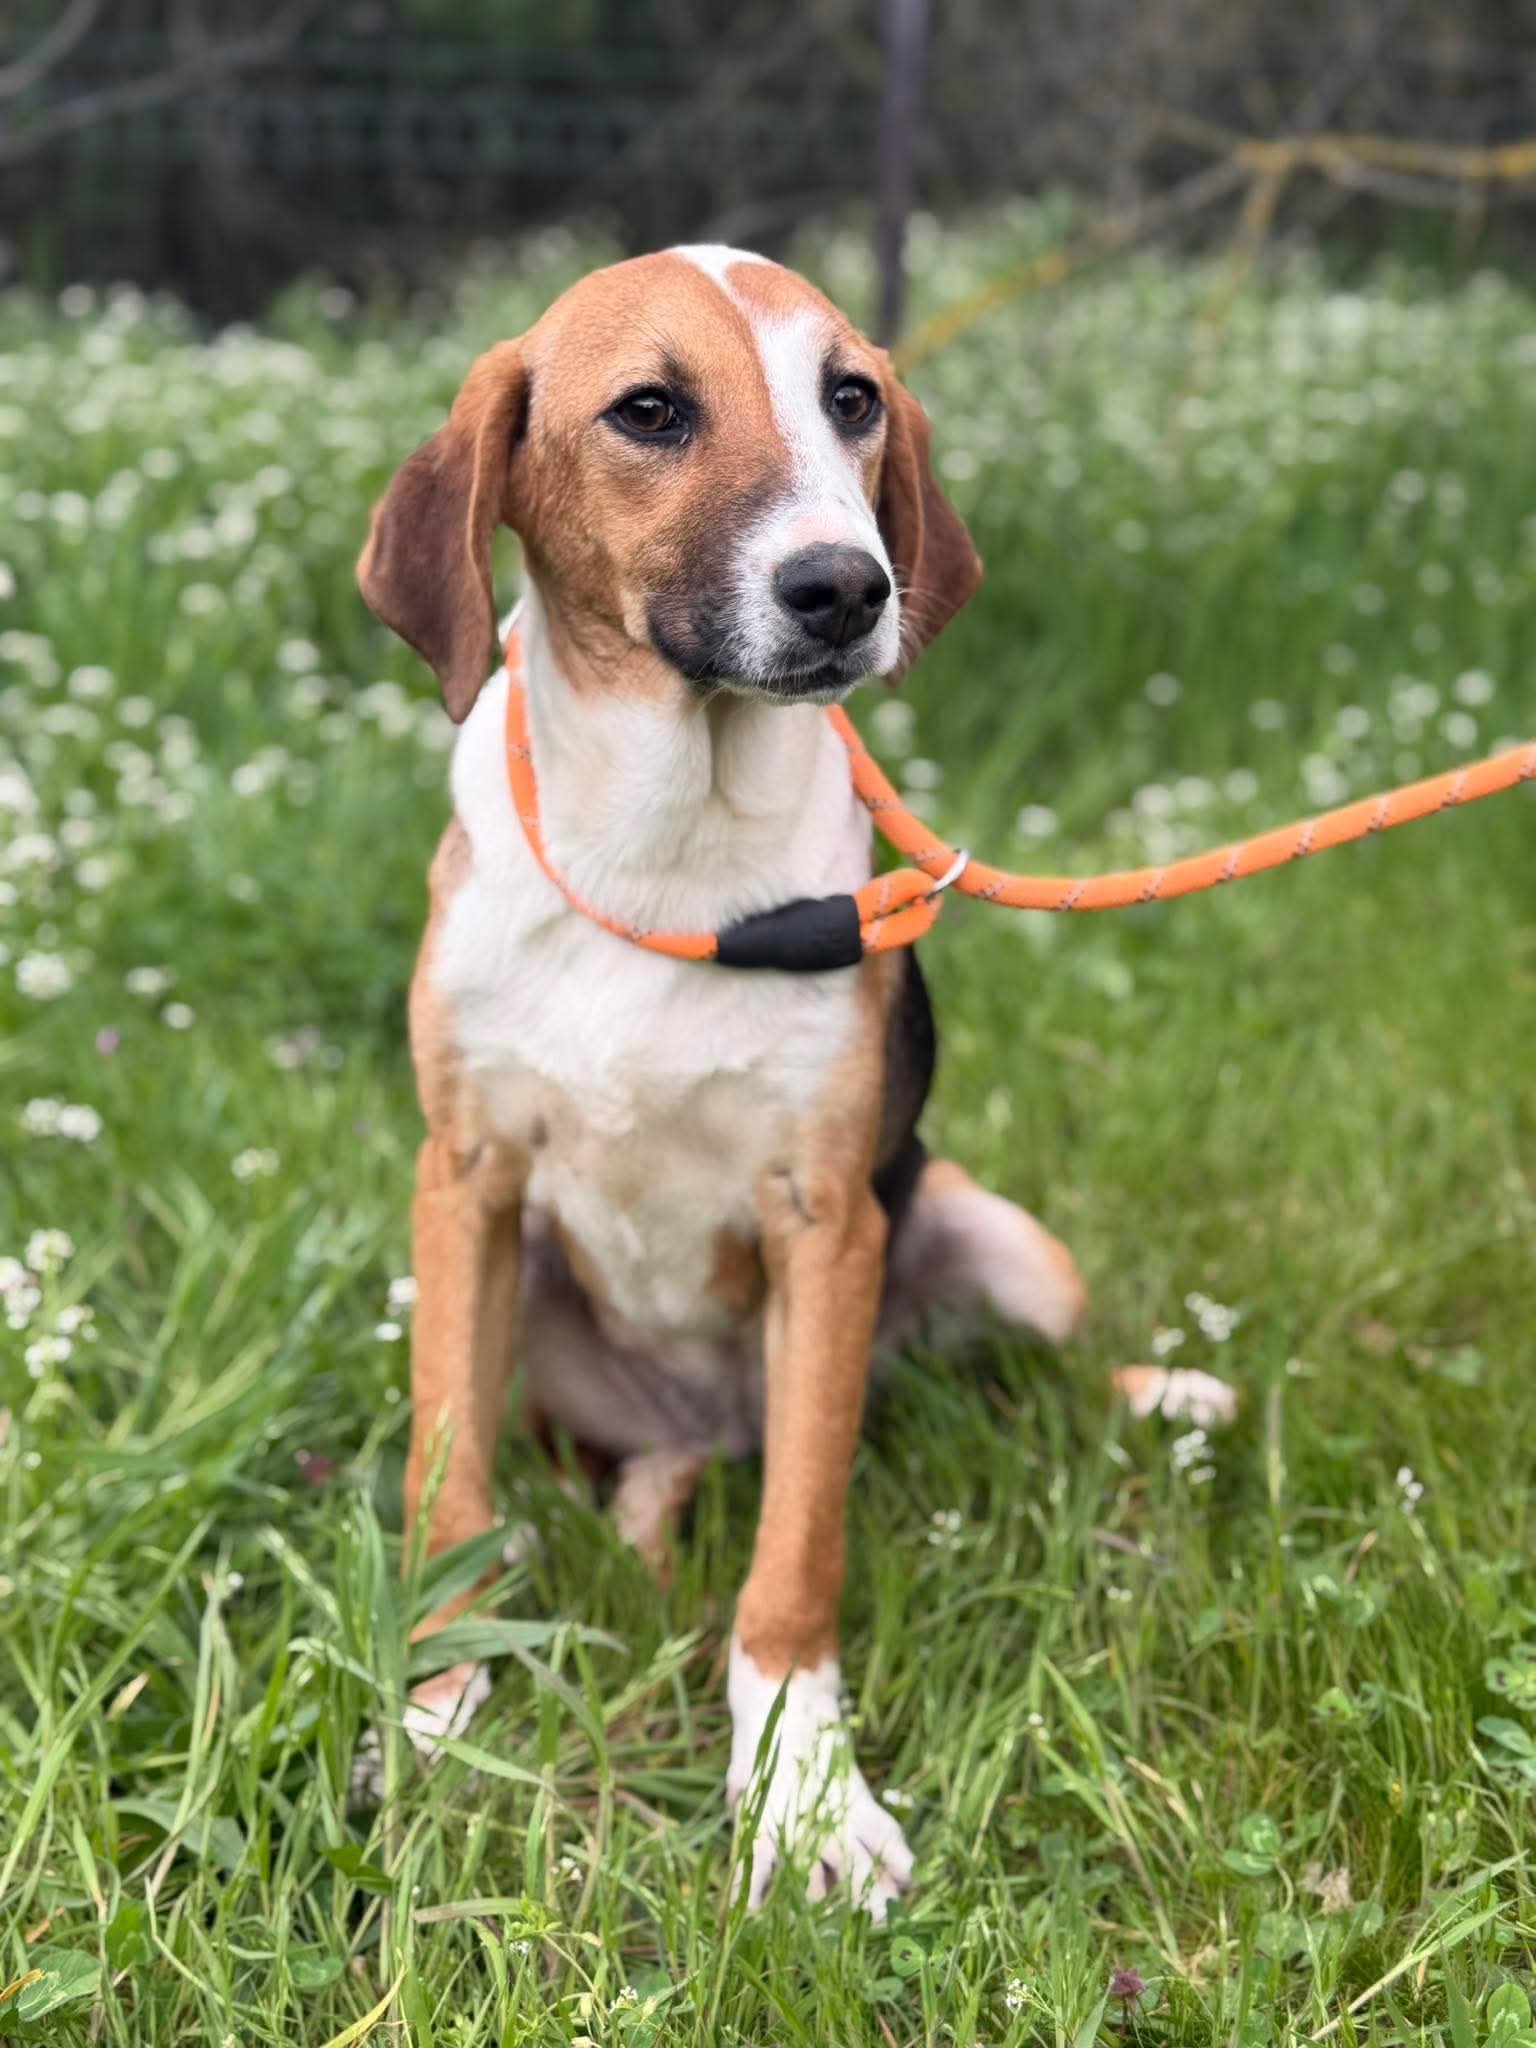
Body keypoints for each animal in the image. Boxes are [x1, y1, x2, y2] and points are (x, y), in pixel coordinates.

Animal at [356, 245, 1101, 1917]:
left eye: (853, 399)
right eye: (649, 410)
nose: (846, 588)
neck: (668, 845)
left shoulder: (828, 1220)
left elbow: (796, 1561)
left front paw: (805, 1796)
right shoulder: (464, 1181)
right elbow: (448, 1486)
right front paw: (436, 1713)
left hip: (1008, 1252)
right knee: (621, 1470)